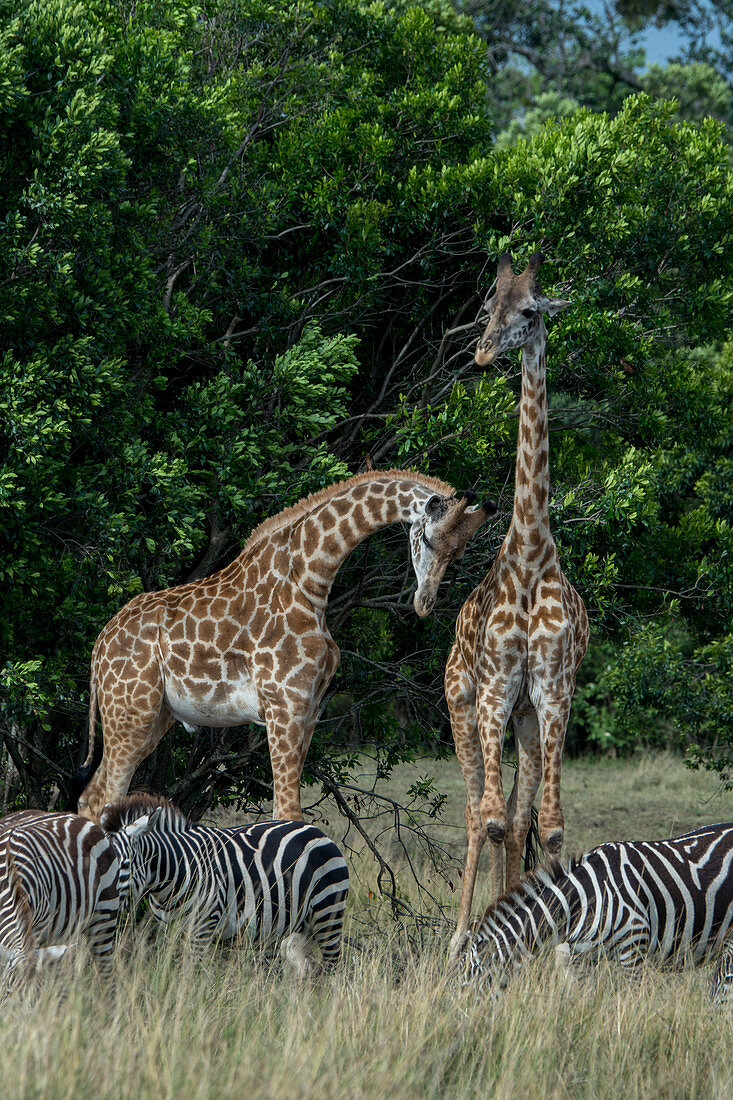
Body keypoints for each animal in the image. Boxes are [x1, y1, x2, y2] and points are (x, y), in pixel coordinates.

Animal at [74, 468, 490, 822]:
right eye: (427, 538)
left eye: (459, 554)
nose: (424, 603)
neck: (311, 580)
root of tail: (98, 647)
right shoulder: (283, 705)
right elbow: (289, 813)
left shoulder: (310, 710)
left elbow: (283, 812)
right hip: (131, 713)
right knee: (104, 795)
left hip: (153, 715)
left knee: (92, 795)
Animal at [100, 796, 347, 968]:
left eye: (125, 864)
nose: (101, 902)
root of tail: (316, 831)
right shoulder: (170, 931)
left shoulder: (201, 931)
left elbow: (193, 976)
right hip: (287, 926)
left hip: (328, 913)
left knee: (331, 967)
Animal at [460, 822, 730, 994]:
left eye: (468, 978)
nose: (461, 1019)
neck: (581, 901)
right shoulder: (579, 959)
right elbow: (580, 1000)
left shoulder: (634, 948)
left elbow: (632, 1001)